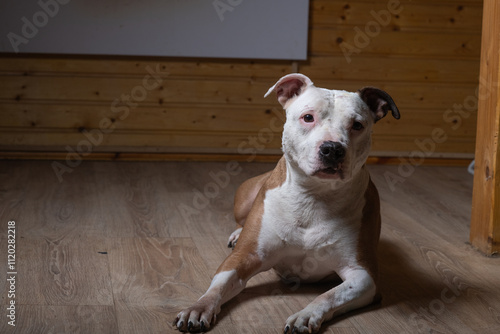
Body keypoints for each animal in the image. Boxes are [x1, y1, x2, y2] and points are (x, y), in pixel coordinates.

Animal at [174, 73, 400, 334]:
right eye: (308, 117)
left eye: (357, 125)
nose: (332, 148)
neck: (313, 196)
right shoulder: (244, 257)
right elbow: (217, 286)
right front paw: (199, 307)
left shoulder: (363, 276)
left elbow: (329, 295)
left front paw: (306, 315)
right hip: (246, 198)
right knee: (241, 220)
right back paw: (237, 234)